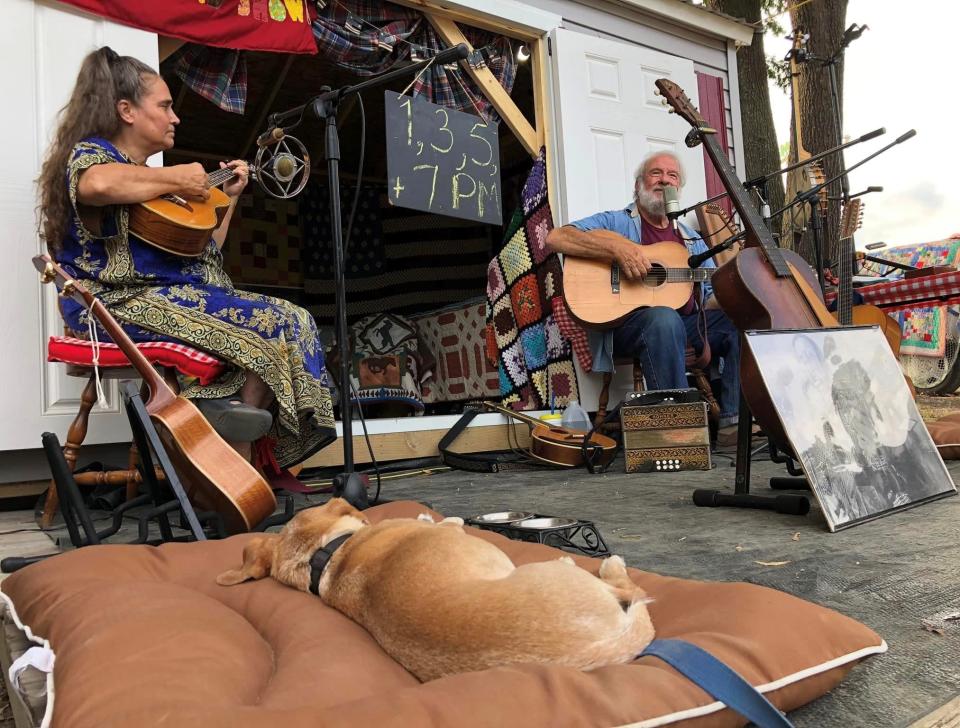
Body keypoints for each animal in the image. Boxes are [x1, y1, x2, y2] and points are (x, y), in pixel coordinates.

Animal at [217, 498, 652, 680]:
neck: (327, 553)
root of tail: (598, 651)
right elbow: (446, 524)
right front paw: (435, 518)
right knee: (627, 588)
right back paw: (609, 564)